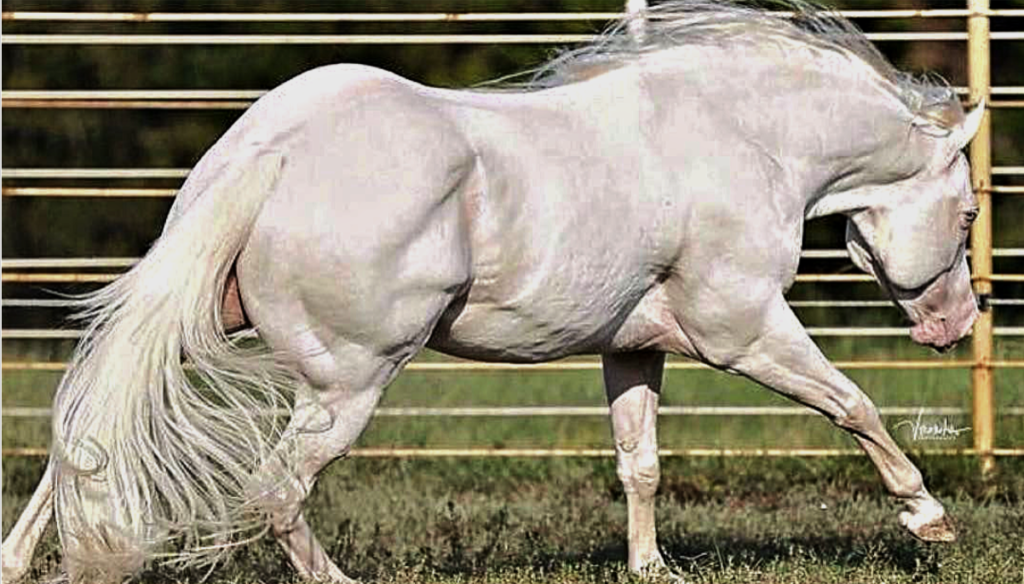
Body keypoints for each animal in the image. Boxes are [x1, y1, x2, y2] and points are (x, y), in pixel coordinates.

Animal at [2, 1, 985, 582]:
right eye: (971, 212)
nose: (954, 326)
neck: (740, 138)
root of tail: (269, 151)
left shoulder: (635, 348)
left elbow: (640, 463)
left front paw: (651, 569)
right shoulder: (740, 329)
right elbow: (853, 404)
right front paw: (930, 519)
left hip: (189, 331)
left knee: (83, 449)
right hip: (347, 384)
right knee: (274, 491)